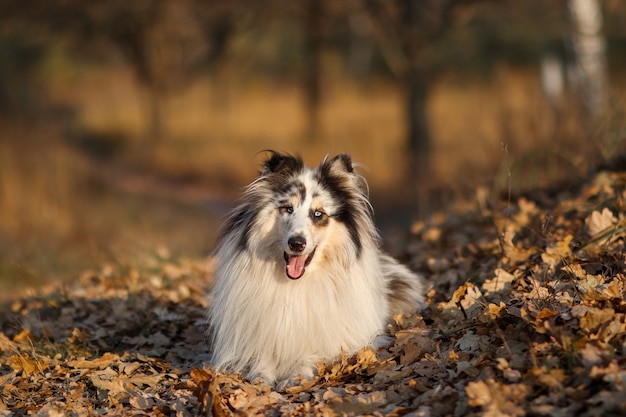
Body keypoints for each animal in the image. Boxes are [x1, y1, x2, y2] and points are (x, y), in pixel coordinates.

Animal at [205, 151, 424, 386]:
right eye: (287, 209)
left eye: (318, 214)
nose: (296, 243)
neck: (296, 283)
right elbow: (262, 356)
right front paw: (260, 377)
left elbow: (312, 355)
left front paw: (296, 376)